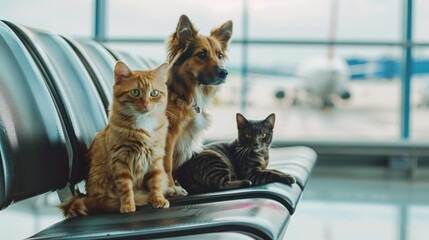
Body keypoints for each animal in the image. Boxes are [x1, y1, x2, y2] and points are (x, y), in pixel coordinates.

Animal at [60, 61, 171, 217]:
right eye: (135, 92)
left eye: (154, 93)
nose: (146, 105)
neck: (143, 124)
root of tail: (88, 197)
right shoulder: (120, 160)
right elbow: (126, 188)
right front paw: (128, 205)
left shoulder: (155, 158)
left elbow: (156, 183)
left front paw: (158, 199)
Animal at [164, 14, 232, 195]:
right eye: (201, 54)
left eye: (219, 55)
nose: (224, 73)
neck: (182, 95)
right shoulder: (169, 136)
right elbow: (166, 164)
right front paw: (171, 188)